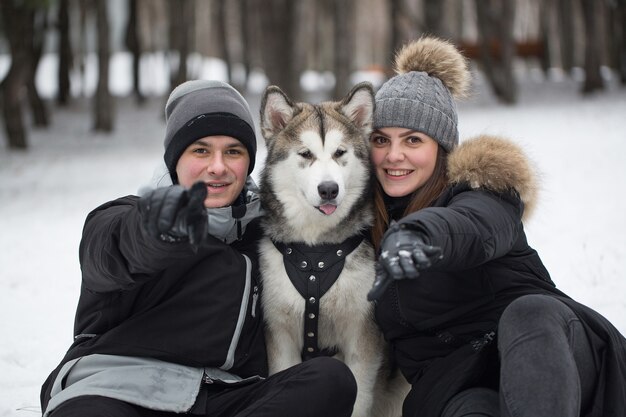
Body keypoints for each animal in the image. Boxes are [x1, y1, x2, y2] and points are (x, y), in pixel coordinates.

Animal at [256, 82, 408, 416]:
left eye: (340, 153)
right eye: (305, 154)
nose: (328, 189)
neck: (316, 250)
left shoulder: (362, 336)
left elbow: (358, 398)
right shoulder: (280, 332)